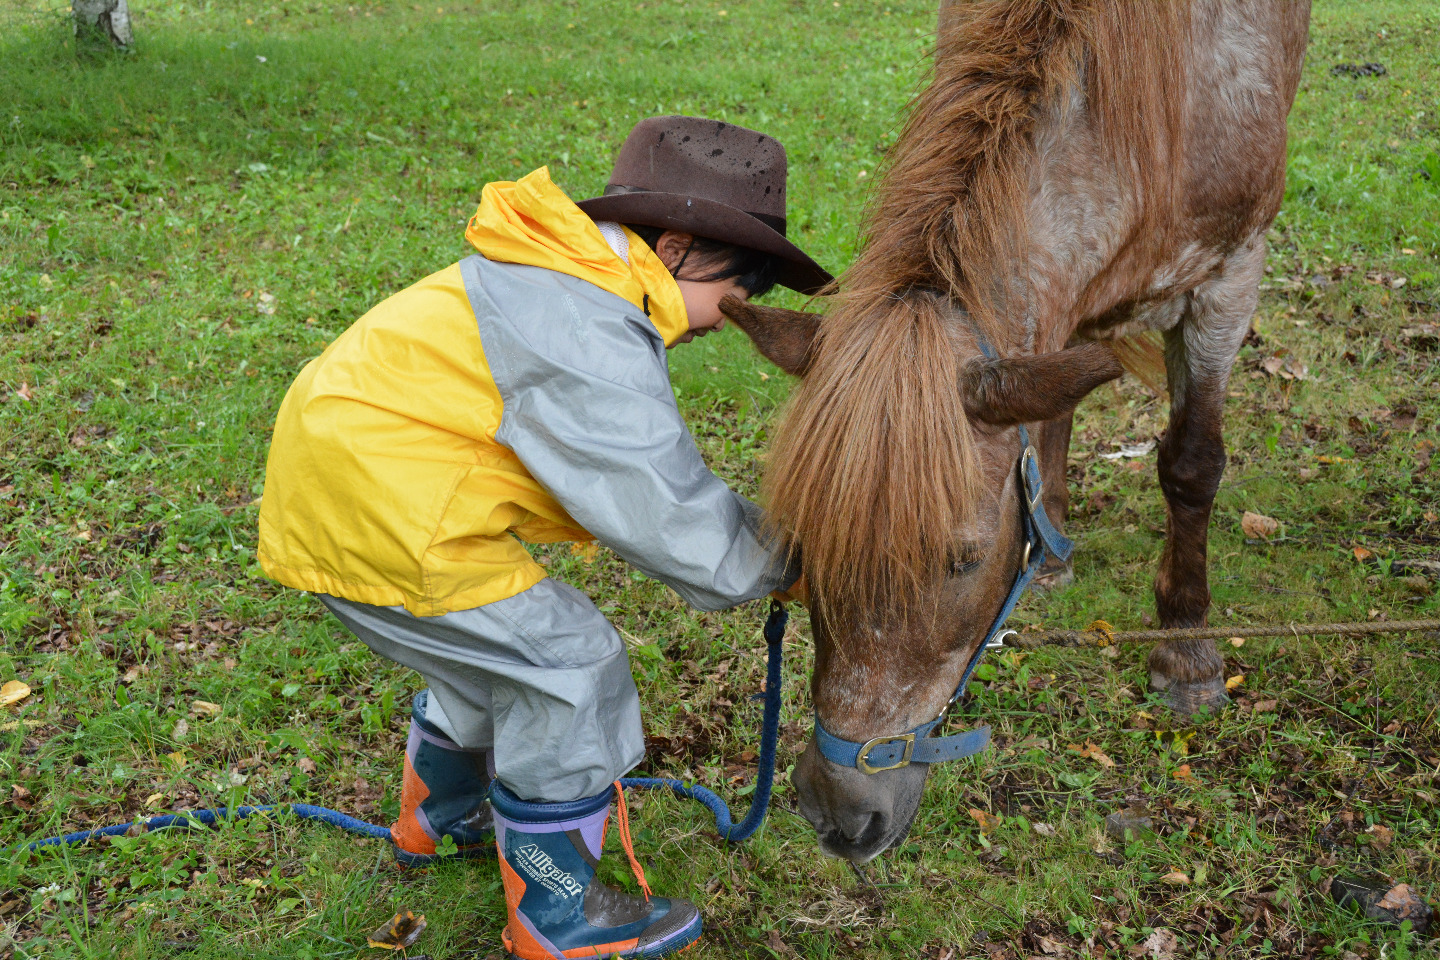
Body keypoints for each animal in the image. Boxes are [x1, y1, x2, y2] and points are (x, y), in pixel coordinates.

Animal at [725, 0, 1313, 863]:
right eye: (802, 547)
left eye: (962, 560)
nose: (840, 812)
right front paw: (1051, 548)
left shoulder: (1229, 277)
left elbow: (1191, 465)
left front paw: (1187, 650)